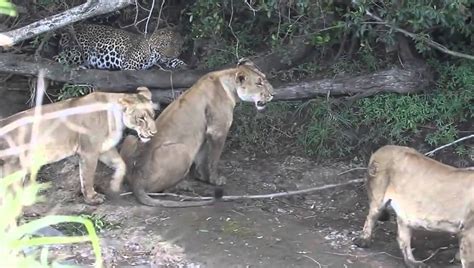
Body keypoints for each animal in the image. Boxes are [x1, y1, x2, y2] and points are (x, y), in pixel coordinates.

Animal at [54, 23, 187, 70]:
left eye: (178, 48)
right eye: (165, 44)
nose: (170, 54)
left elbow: (175, 61)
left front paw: (182, 64)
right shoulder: (130, 66)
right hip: (78, 53)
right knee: (57, 60)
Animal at [120, 57, 274, 206]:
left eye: (265, 79)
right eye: (259, 83)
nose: (273, 94)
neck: (228, 84)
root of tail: (136, 180)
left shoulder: (206, 133)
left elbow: (203, 157)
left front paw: (202, 177)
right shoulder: (218, 130)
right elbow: (213, 159)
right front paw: (215, 180)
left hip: (132, 137)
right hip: (182, 151)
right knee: (160, 190)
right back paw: (183, 186)